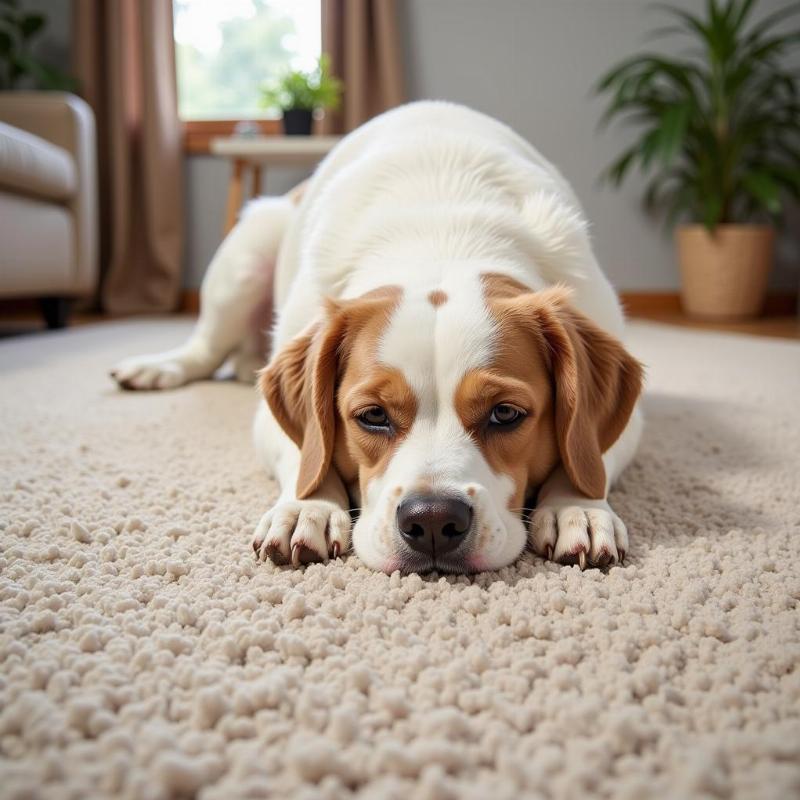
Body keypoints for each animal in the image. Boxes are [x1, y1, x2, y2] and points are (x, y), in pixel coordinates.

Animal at [111, 101, 644, 576]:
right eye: (372, 416)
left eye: (506, 414)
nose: (433, 521)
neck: (440, 235)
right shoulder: (270, 415)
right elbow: (305, 452)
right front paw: (308, 506)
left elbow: (589, 453)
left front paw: (578, 504)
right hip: (245, 254)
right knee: (203, 349)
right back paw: (156, 367)